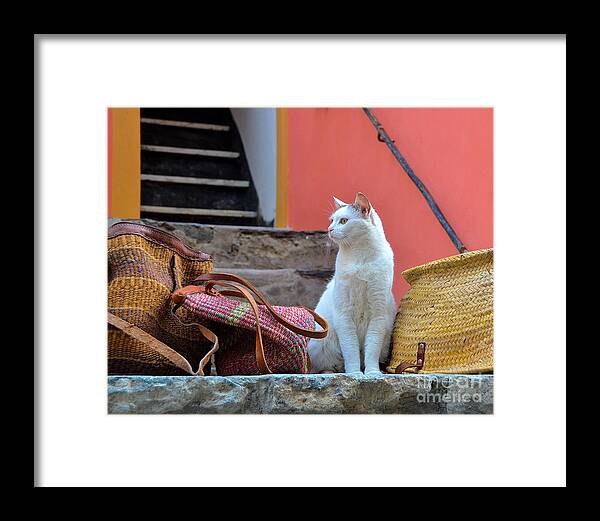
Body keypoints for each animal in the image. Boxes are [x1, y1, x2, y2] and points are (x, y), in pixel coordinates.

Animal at [310, 191, 398, 374]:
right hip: (321, 344)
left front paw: (372, 373)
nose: (329, 229)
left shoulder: (378, 314)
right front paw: (355, 373)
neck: (360, 258)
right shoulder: (344, 316)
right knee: (331, 366)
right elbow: (351, 351)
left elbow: (372, 349)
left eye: (343, 221)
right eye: (332, 220)